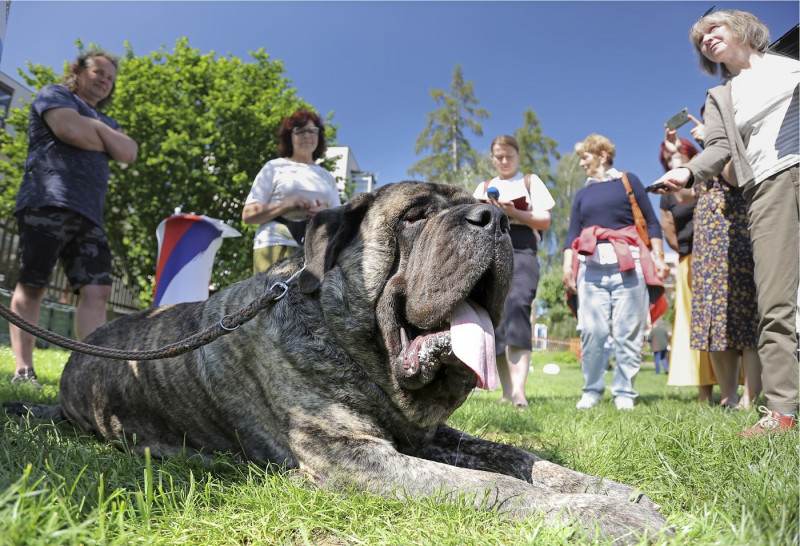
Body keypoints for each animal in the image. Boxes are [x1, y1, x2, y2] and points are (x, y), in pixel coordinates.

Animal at [6, 183, 668, 540]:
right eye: (415, 216)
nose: (499, 219)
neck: (358, 353)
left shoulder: (433, 436)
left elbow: (521, 459)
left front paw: (612, 491)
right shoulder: (354, 458)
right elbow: (491, 487)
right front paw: (603, 516)